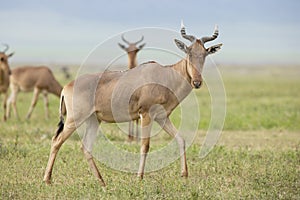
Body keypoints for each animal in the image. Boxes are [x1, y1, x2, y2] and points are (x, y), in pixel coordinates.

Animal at [44, 23, 223, 186]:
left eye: (204, 54)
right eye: (188, 53)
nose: (197, 82)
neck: (165, 75)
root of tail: (67, 87)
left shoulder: (162, 118)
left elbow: (181, 139)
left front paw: (184, 175)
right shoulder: (146, 115)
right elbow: (145, 145)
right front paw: (139, 177)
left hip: (93, 120)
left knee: (85, 147)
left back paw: (101, 181)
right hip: (74, 119)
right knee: (56, 141)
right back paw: (47, 179)